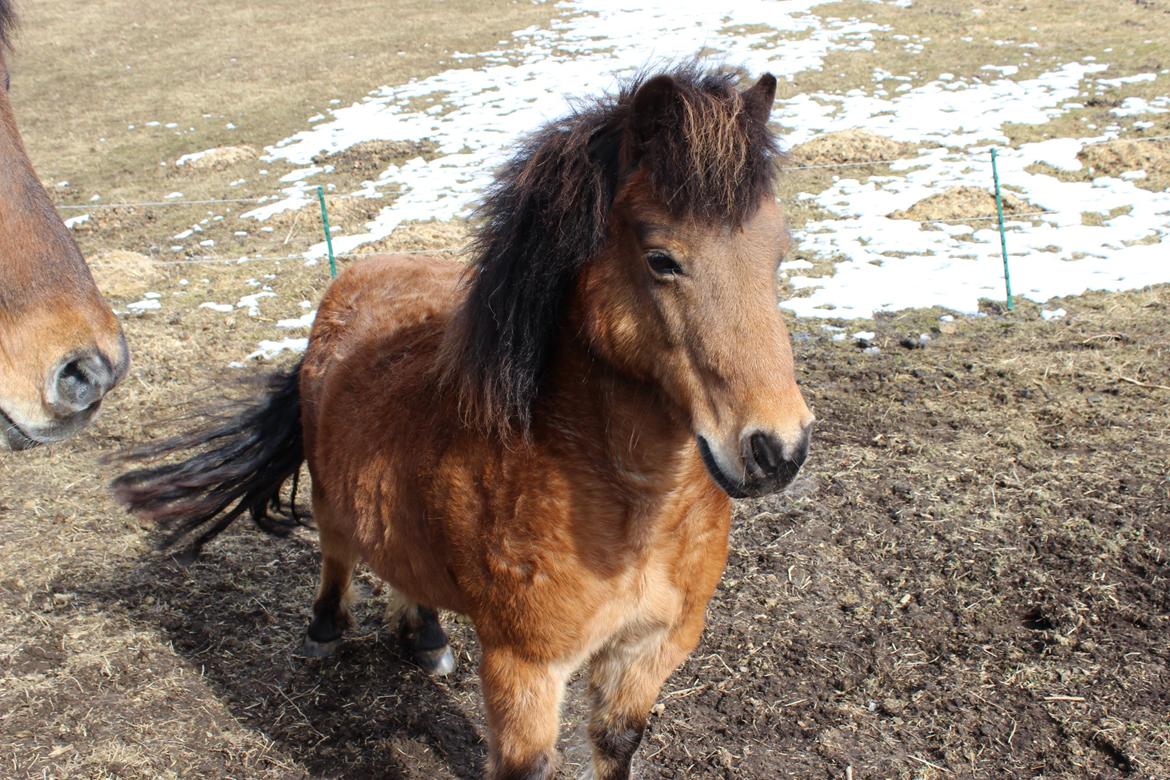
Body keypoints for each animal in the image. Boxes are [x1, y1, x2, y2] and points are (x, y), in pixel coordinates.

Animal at [116, 68, 814, 780]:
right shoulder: (524, 669)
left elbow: (618, 745)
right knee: (338, 547)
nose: (776, 450)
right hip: (329, 492)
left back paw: (425, 637)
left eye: (778, 252)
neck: (632, 508)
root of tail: (357, 274)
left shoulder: (650, 650)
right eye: (661, 258)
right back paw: (324, 632)